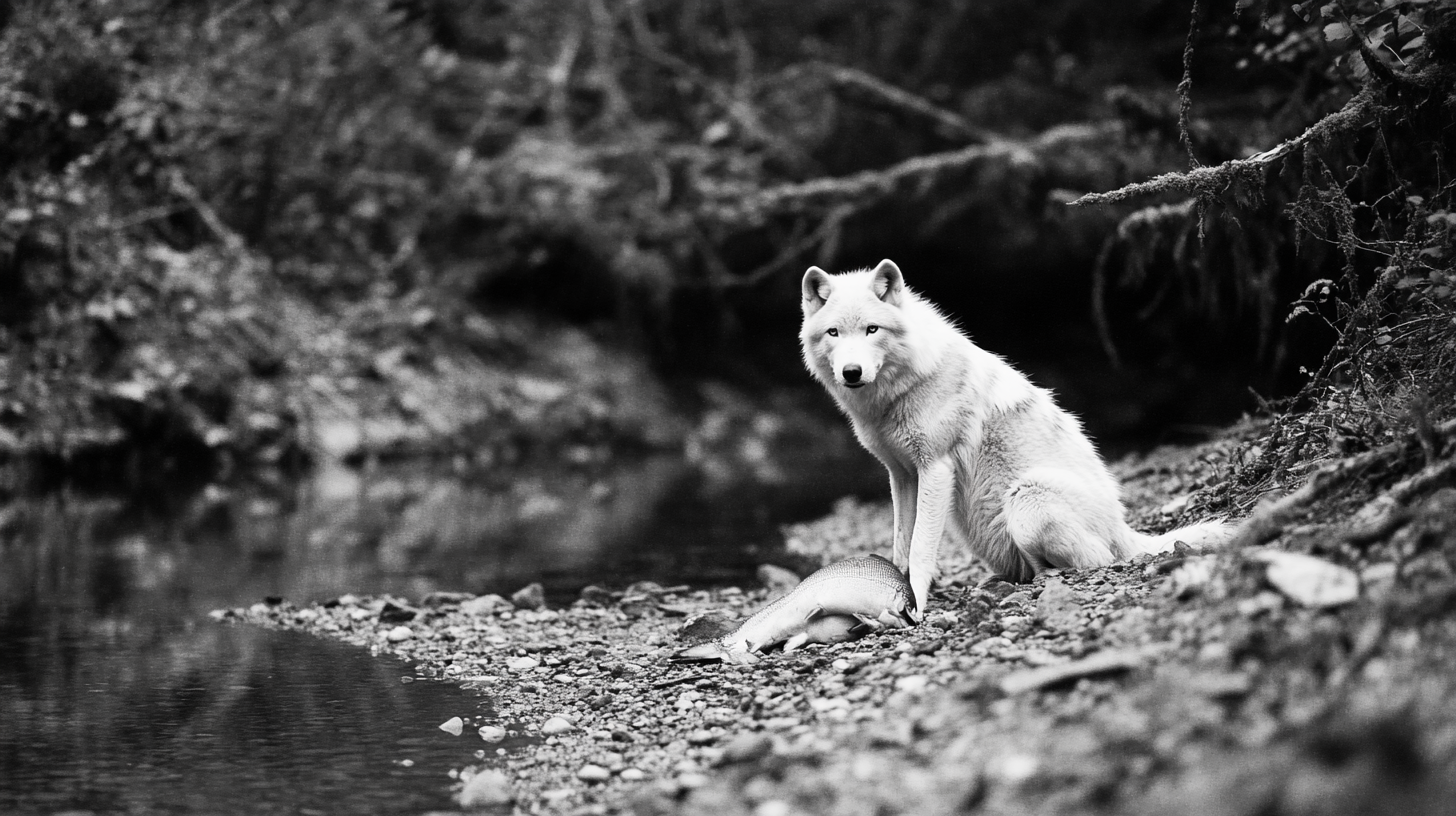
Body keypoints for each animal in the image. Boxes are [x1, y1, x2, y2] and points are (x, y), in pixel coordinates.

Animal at [797, 257, 1228, 614]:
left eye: (872, 329)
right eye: (834, 333)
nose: (851, 372)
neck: (901, 391)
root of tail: (1124, 527)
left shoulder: (934, 469)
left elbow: (920, 548)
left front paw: (915, 603)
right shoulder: (902, 474)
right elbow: (901, 543)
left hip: (1027, 496)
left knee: (1098, 561)